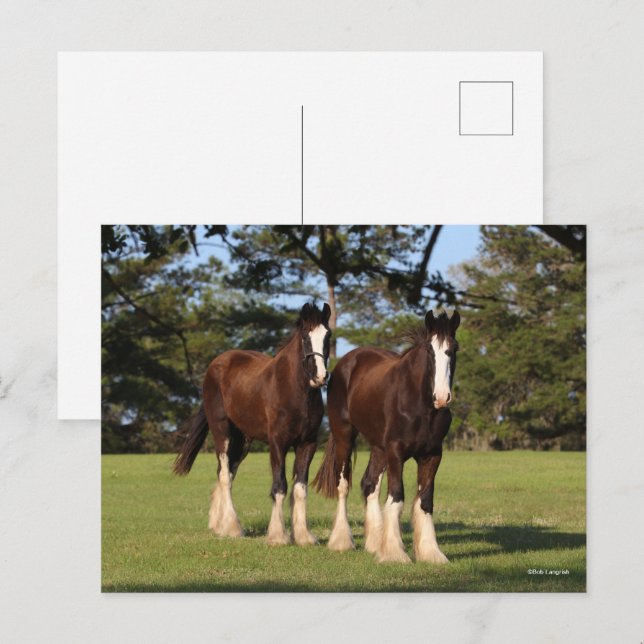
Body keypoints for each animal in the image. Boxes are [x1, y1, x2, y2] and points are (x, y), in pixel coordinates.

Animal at [174, 302, 332, 546]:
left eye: (328, 336)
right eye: (305, 336)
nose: (321, 377)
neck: (294, 391)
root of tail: (216, 365)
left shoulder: (308, 444)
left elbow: (300, 488)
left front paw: (303, 536)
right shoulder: (277, 443)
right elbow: (280, 486)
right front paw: (277, 535)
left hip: (243, 441)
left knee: (226, 472)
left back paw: (219, 525)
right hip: (222, 433)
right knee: (224, 475)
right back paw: (232, 527)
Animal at [313, 309, 460, 563]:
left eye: (454, 348)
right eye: (429, 350)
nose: (441, 397)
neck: (420, 404)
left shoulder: (432, 454)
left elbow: (425, 501)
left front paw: (431, 552)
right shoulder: (395, 451)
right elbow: (396, 496)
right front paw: (394, 553)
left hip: (378, 447)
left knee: (369, 484)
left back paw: (374, 543)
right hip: (345, 436)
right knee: (343, 485)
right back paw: (342, 541)